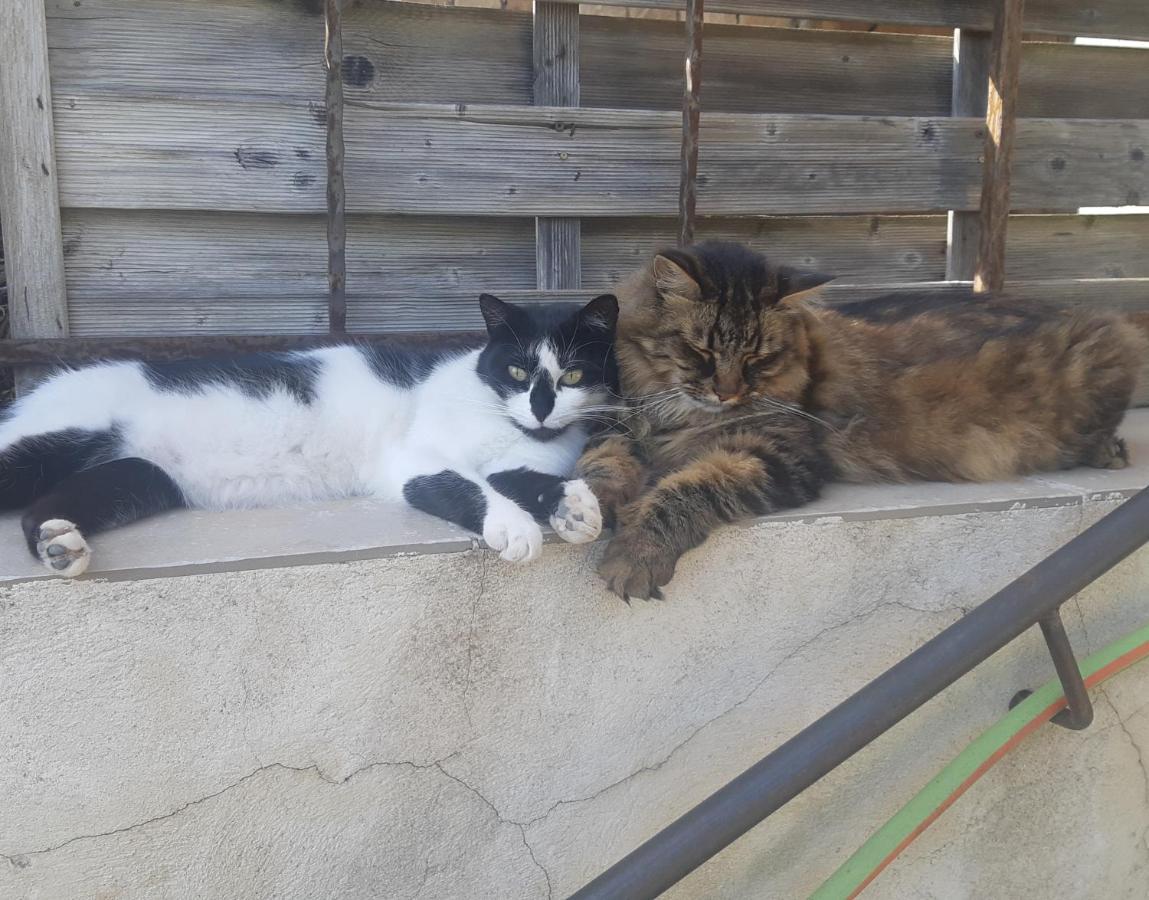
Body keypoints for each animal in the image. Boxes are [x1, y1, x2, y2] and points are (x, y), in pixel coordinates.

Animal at [0, 296, 620, 577]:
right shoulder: (414, 456)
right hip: (57, 437)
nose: (540, 407)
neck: (518, 430)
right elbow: (468, 484)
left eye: (572, 376)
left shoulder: (516, 460)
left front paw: (573, 507)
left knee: (42, 509)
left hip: (141, 476)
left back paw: (59, 544)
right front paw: (514, 527)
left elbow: (520, 478)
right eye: (516, 371)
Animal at [579, 242, 1144, 602]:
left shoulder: (780, 458)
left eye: (758, 358)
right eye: (700, 351)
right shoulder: (618, 425)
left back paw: (1109, 452)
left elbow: (686, 489)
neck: (678, 417)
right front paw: (588, 506)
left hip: (1106, 348)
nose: (728, 392)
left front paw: (637, 553)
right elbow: (600, 465)